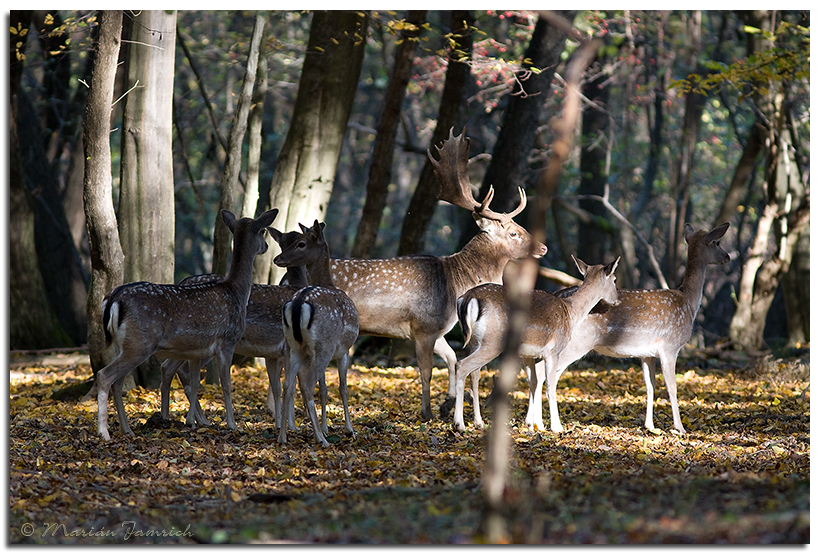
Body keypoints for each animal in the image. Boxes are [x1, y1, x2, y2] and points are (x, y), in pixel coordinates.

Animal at [94, 208, 278, 440]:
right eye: (263, 231)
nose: (266, 247)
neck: (236, 292)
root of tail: (112, 299)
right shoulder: (227, 341)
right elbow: (226, 385)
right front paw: (232, 424)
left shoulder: (196, 350)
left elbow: (195, 381)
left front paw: (194, 422)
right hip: (139, 343)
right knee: (105, 375)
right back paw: (104, 432)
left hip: (124, 344)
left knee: (118, 382)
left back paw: (127, 429)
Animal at [159, 226, 310, 430]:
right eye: (287, 243)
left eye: (299, 243)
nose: (278, 259)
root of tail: (182, 282)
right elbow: (290, 385)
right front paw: (291, 425)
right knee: (178, 369)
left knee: (169, 367)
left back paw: (184, 418)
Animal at [272, 218, 358, 446]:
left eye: (301, 243)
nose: (277, 258)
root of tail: (299, 303)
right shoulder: (344, 350)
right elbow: (342, 388)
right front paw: (349, 429)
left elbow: (325, 389)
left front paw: (327, 427)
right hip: (324, 346)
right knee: (307, 385)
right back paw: (320, 439)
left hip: (294, 346)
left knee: (288, 385)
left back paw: (283, 437)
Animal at [326, 127, 544, 420]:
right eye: (513, 233)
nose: (542, 247)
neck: (455, 281)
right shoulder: (423, 326)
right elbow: (427, 371)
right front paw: (427, 411)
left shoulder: (439, 328)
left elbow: (451, 358)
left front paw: (448, 402)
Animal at [452, 254, 620, 432]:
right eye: (615, 279)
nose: (617, 300)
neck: (570, 312)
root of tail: (467, 299)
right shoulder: (553, 351)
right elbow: (550, 388)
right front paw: (556, 427)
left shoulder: (527, 353)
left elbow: (533, 382)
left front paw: (535, 425)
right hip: (493, 342)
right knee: (461, 365)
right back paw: (459, 424)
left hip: (474, 342)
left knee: (474, 375)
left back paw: (479, 422)